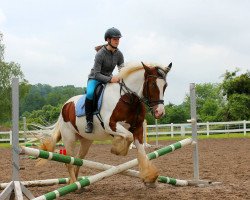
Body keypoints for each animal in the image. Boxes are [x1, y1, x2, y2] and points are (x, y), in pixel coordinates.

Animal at [38, 61, 172, 186]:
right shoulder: (110, 125)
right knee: (69, 162)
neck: (128, 98)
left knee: (78, 160)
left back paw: (77, 184)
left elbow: (141, 152)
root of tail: (65, 106)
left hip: (86, 141)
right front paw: (118, 149)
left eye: (165, 86)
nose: (160, 112)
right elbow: (128, 137)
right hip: (69, 138)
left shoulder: (138, 128)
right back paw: (74, 183)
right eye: (153, 84)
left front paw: (149, 177)